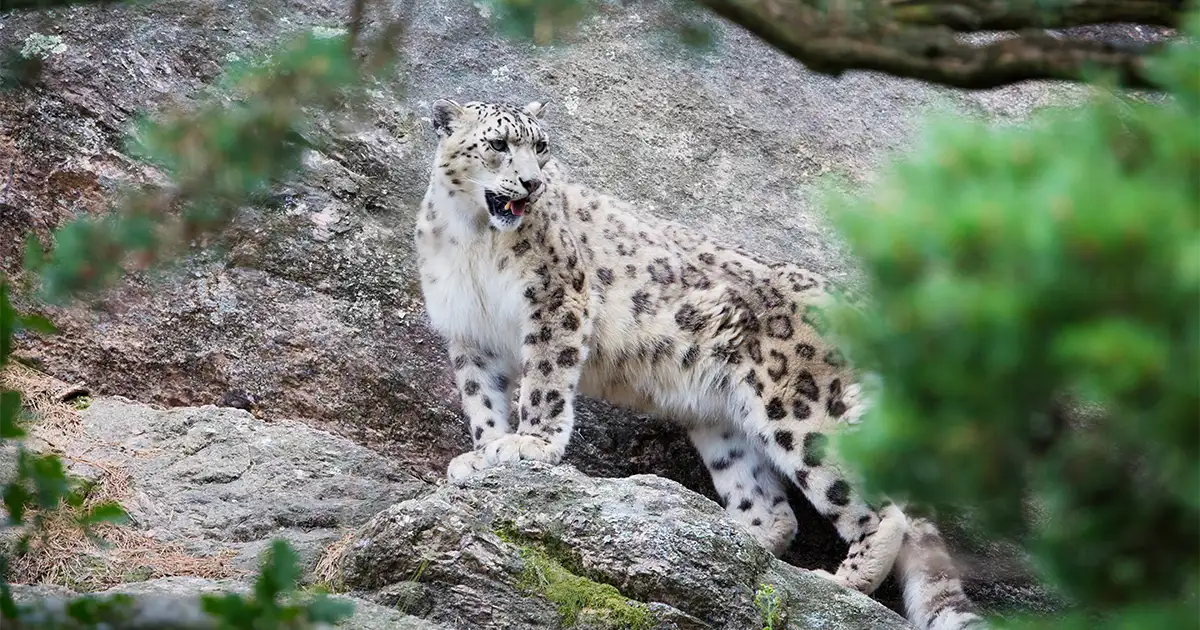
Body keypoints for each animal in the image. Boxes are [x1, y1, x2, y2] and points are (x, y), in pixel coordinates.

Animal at [414, 98, 986, 630]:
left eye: (541, 146)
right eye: (498, 144)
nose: (531, 183)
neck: (472, 237)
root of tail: (860, 309)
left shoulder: (556, 302)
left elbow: (544, 382)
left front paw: (529, 445)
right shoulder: (469, 334)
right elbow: (482, 399)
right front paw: (482, 452)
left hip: (799, 408)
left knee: (878, 506)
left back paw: (839, 580)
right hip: (727, 427)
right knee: (773, 510)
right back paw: (724, 541)